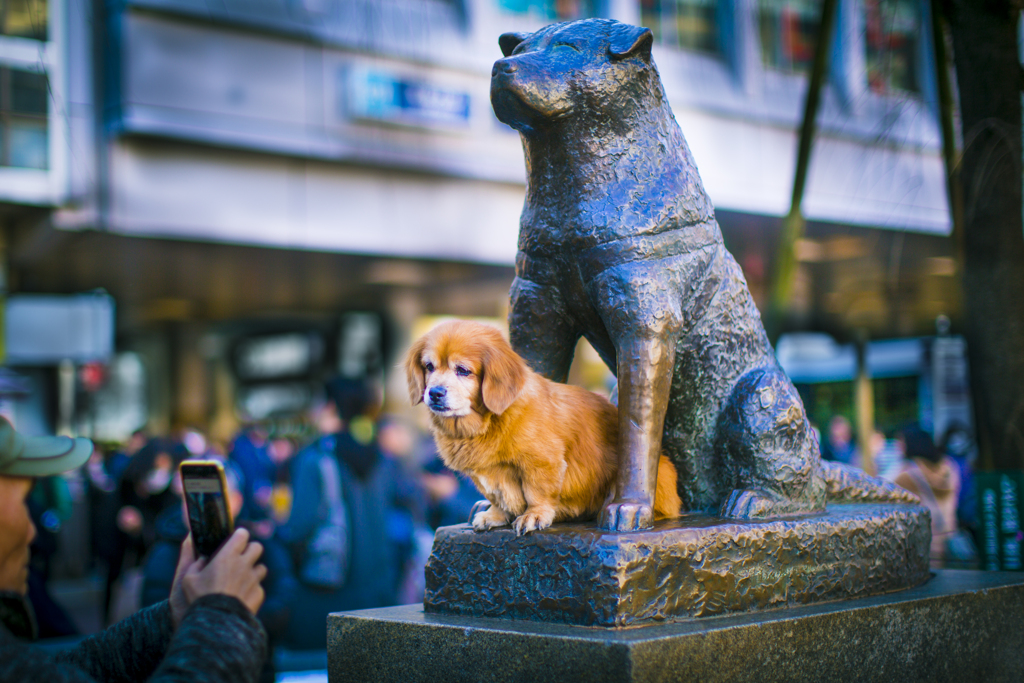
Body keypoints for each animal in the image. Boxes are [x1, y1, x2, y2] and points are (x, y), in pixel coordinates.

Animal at [405, 321, 679, 532]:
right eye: (429, 367)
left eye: (463, 370)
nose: (434, 393)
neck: (487, 423)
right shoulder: (486, 476)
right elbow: (497, 496)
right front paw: (495, 515)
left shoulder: (542, 463)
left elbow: (537, 493)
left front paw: (534, 515)